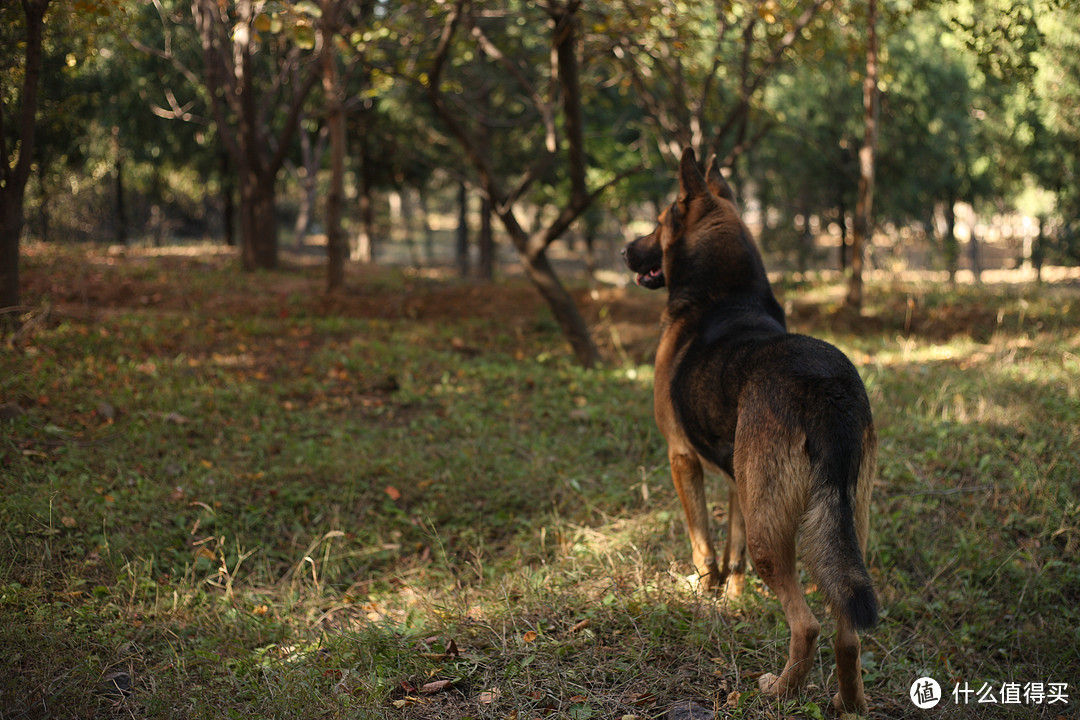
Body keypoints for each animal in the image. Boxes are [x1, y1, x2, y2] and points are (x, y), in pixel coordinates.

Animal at [626, 148, 876, 712]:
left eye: (659, 221)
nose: (626, 248)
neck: (724, 294)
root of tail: (828, 388)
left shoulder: (682, 459)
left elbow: (704, 546)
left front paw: (706, 599)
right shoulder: (741, 480)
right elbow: (732, 552)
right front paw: (735, 603)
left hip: (775, 533)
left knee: (806, 624)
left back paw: (780, 690)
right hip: (842, 524)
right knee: (847, 628)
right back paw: (848, 703)